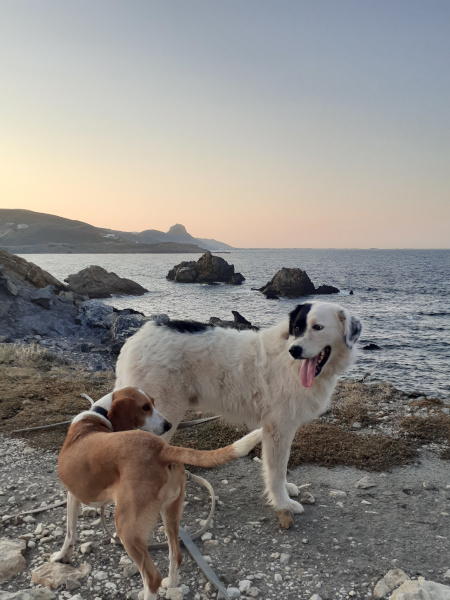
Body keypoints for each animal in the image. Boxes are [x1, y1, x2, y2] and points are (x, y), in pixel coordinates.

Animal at [51, 387, 262, 599]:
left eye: (151, 404)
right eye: (146, 406)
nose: (168, 425)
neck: (97, 417)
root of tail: (162, 448)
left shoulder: (72, 495)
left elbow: (70, 533)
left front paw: (61, 556)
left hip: (127, 528)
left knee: (152, 577)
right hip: (170, 515)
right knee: (176, 555)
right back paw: (171, 584)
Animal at [115, 301, 362, 528]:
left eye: (318, 327)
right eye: (297, 328)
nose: (295, 350)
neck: (289, 362)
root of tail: (135, 340)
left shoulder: (284, 428)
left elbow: (281, 469)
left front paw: (286, 490)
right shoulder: (277, 429)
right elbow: (276, 471)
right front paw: (283, 503)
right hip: (163, 416)